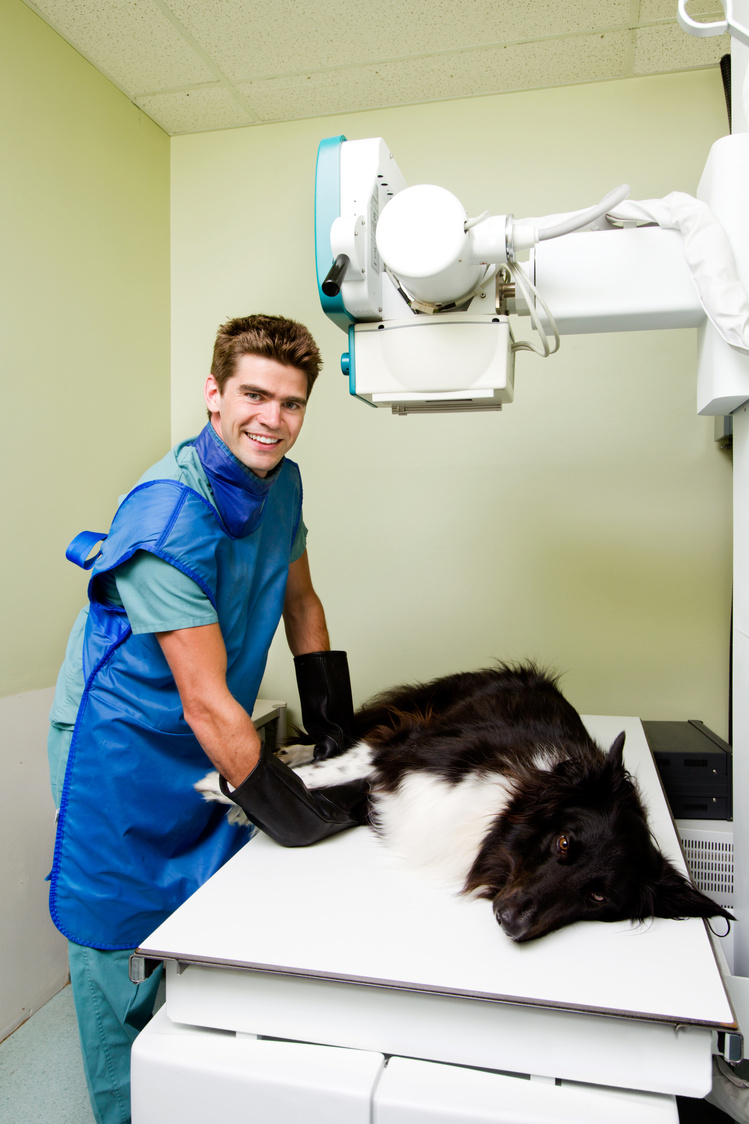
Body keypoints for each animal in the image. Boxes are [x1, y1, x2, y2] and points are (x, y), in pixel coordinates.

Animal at [197, 660, 728, 944]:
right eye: (563, 843)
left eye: (598, 898)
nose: (512, 923)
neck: (509, 807)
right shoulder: (407, 745)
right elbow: (329, 772)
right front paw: (221, 785)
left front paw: (247, 802)